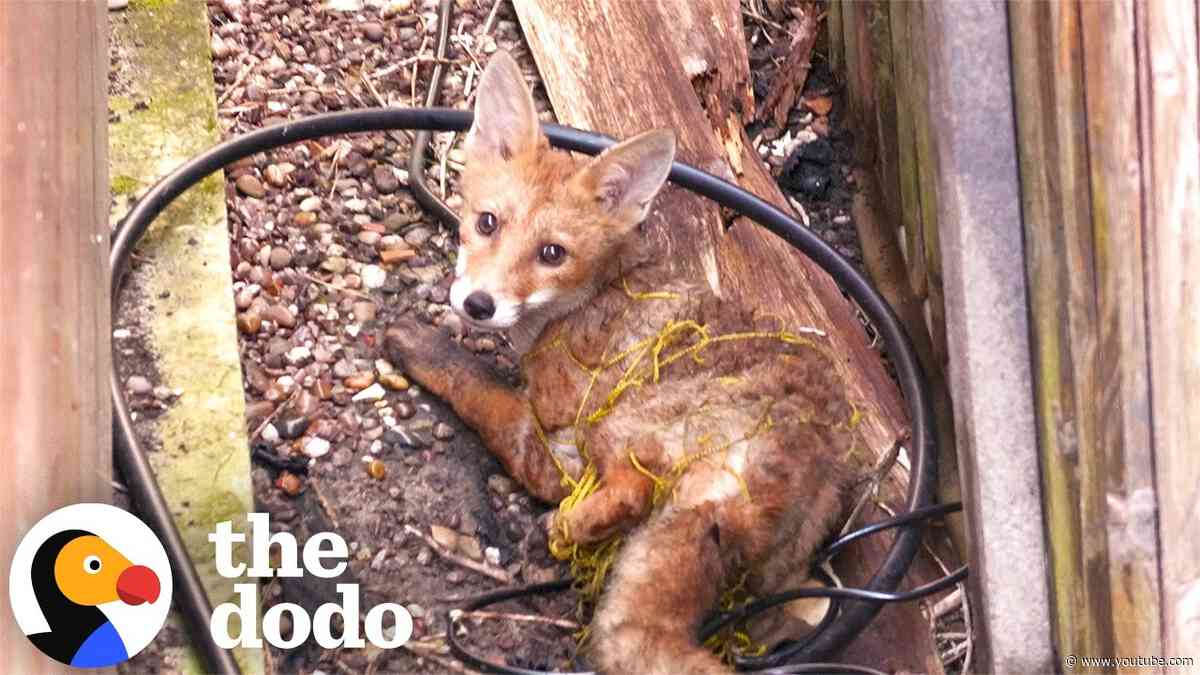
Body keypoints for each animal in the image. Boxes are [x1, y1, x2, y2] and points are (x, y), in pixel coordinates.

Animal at [384, 51, 865, 674]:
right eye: (487, 222)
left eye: (552, 254)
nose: (478, 305)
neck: (584, 301)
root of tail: (786, 458)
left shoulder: (556, 420)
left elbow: (483, 390)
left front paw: (421, 347)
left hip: (615, 430)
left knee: (609, 486)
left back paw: (562, 529)